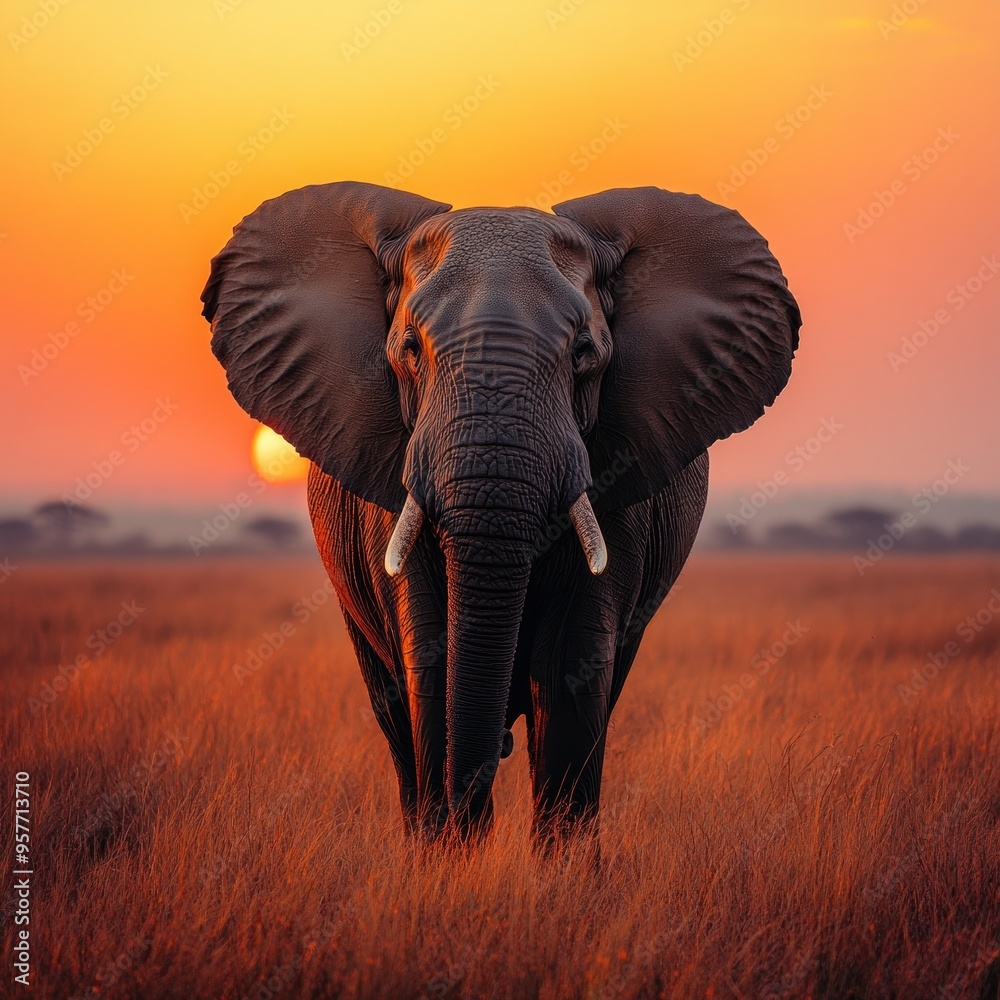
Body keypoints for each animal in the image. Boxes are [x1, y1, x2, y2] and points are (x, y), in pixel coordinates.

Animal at [202, 181, 800, 844]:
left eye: (583, 353)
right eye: (410, 350)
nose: (470, 807)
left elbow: (568, 668)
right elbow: (430, 662)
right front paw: (451, 857)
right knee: (393, 709)